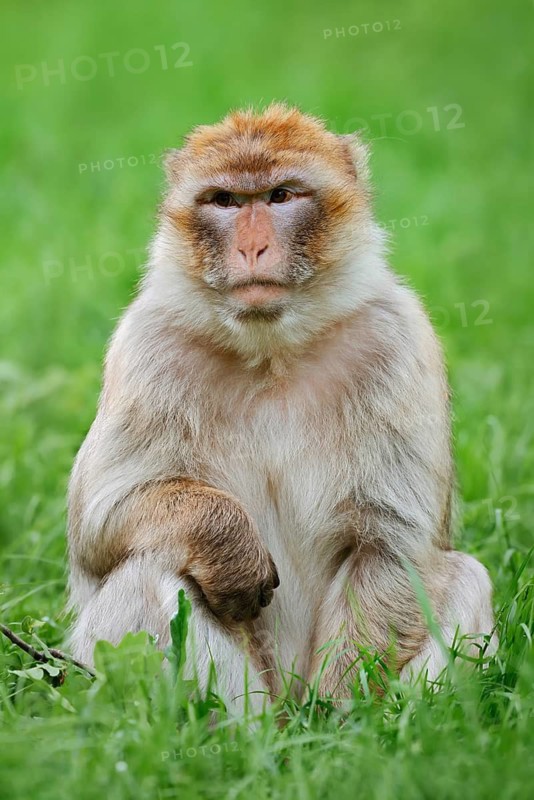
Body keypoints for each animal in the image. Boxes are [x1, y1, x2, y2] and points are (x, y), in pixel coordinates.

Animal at [67, 104, 496, 710]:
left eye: (280, 196)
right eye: (225, 200)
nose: (251, 249)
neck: (272, 353)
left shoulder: (396, 340)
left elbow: (391, 543)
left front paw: (342, 715)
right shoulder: (148, 346)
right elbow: (99, 522)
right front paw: (227, 544)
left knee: (464, 576)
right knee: (148, 573)